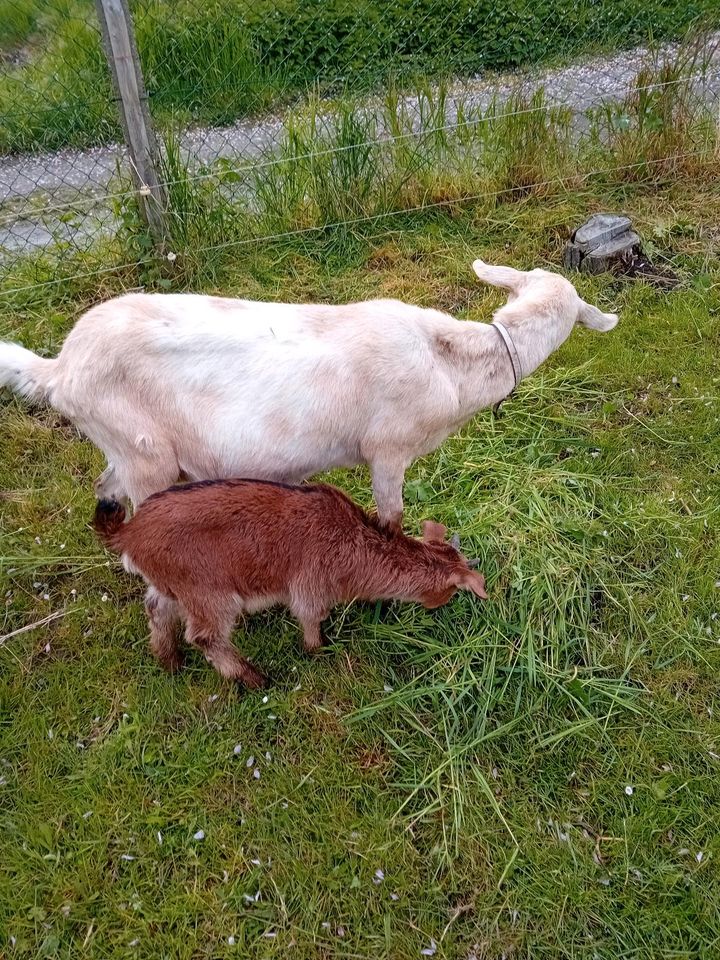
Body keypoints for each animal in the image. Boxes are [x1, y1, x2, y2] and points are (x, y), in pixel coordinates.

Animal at [1, 260, 620, 524]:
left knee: (107, 484)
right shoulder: (388, 449)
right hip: (146, 451)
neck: (450, 361)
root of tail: (60, 368)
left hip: (129, 443)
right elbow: (391, 512)